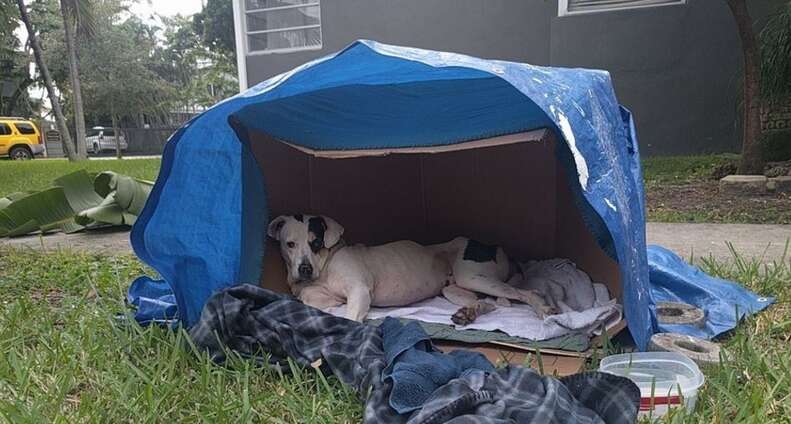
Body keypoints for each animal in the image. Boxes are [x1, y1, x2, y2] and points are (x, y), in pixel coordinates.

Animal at [270, 214, 560, 322]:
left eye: (316, 242)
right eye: (290, 244)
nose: (304, 269)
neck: (326, 266)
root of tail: (493, 246)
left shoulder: (359, 290)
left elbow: (351, 316)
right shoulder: (315, 295)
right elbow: (312, 299)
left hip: (473, 276)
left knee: (526, 293)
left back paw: (544, 309)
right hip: (454, 289)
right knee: (491, 304)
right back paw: (468, 313)